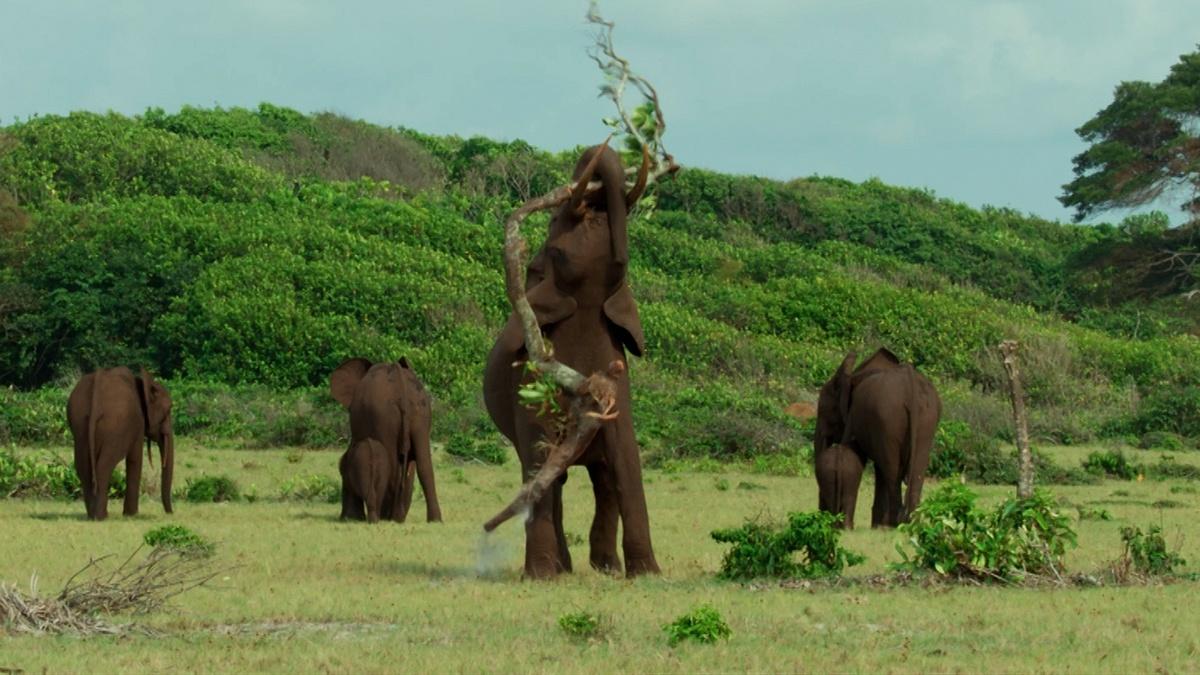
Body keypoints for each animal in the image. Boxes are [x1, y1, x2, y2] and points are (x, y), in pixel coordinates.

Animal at [66, 367, 174, 521]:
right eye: (169, 409)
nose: (170, 513)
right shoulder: (137, 423)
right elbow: (135, 460)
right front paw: (131, 515)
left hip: (79, 422)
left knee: (82, 466)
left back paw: (92, 516)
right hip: (116, 425)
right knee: (104, 465)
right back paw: (101, 517)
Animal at [330, 357, 442, 523]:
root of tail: (399, 376)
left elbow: (348, 459)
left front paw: (351, 518)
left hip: (383, 416)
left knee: (392, 462)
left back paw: (389, 517)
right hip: (420, 412)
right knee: (423, 465)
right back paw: (428, 520)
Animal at [483, 144, 660, 579]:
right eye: (554, 222)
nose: (602, 148)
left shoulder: (618, 375)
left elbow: (627, 459)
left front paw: (648, 574)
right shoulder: (529, 384)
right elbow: (540, 455)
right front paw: (542, 577)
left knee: (602, 477)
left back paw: (606, 568)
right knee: (554, 476)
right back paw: (561, 569)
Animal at [814, 348, 941, 527]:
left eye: (823, 411)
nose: (821, 513)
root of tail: (910, 386)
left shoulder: (854, 414)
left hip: (888, 417)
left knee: (892, 472)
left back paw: (893, 524)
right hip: (927, 419)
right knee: (915, 470)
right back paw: (909, 524)